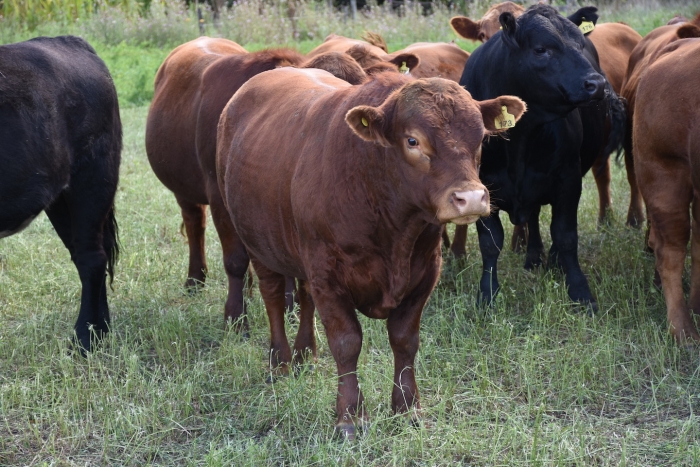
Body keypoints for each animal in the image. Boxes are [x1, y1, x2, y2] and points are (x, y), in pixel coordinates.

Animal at [0, 35, 121, 352]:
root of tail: (67, 40)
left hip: (93, 179)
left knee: (92, 257)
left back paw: (86, 338)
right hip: (60, 198)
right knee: (86, 254)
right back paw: (100, 329)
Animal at [144, 37, 370, 330]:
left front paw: (292, 308)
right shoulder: (219, 197)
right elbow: (235, 260)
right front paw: (236, 317)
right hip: (185, 188)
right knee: (194, 223)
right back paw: (195, 279)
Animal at [219, 68, 524, 438]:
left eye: (480, 138)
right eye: (412, 141)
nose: (472, 198)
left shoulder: (425, 273)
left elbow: (405, 340)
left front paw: (406, 408)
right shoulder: (328, 276)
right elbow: (347, 343)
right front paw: (350, 415)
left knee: (304, 298)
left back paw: (306, 354)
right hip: (258, 244)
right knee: (274, 297)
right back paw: (280, 362)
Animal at [460, 4, 616, 310]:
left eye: (579, 44)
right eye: (542, 49)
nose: (597, 83)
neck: (520, 137)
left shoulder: (568, 178)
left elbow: (565, 235)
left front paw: (580, 292)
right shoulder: (482, 185)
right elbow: (490, 242)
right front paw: (487, 294)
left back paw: (553, 261)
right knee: (531, 216)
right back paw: (534, 257)